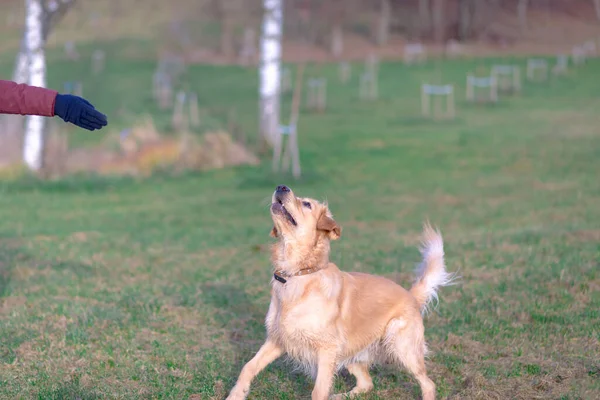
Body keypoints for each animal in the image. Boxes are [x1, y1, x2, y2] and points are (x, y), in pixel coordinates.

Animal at [226, 185, 454, 400]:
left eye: (306, 204)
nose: (281, 187)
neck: (298, 274)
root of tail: (411, 295)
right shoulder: (277, 339)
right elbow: (248, 367)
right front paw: (235, 395)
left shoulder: (326, 350)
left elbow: (318, 391)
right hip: (350, 353)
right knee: (366, 383)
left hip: (401, 346)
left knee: (428, 383)